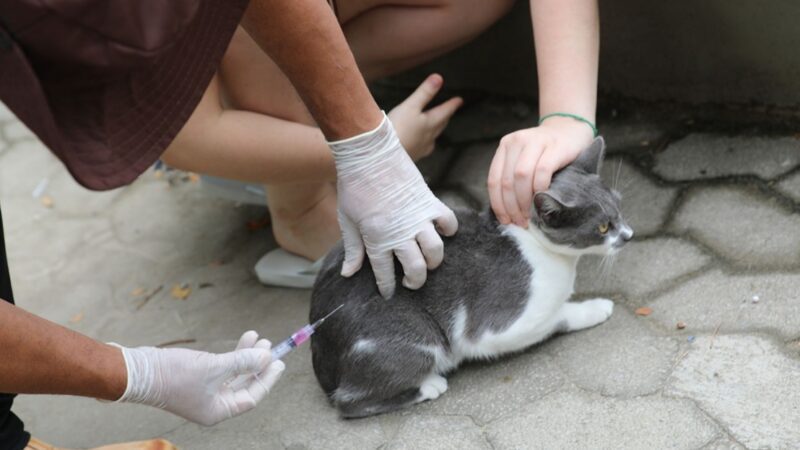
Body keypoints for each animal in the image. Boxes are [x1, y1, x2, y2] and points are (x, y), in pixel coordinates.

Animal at [310, 137, 632, 418]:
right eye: (603, 227)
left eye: (619, 207)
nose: (629, 235)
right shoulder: (502, 326)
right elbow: (560, 316)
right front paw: (596, 307)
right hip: (415, 339)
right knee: (349, 402)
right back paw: (429, 385)